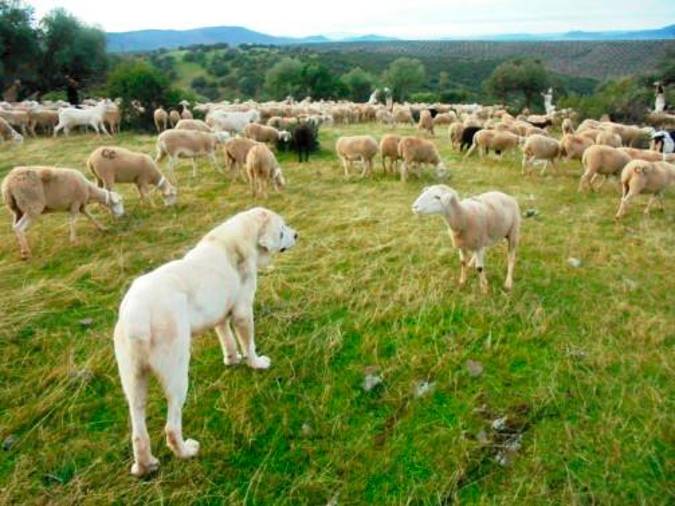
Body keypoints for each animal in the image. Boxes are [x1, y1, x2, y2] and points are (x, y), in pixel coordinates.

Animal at [114, 206, 298, 474]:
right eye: (282, 228)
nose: (296, 235)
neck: (242, 237)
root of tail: (137, 313)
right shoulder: (243, 312)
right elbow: (248, 343)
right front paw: (256, 363)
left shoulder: (220, 316)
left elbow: (227, 339)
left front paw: (232, 360)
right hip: (177, 374)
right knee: (171, 428)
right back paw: (186, 452)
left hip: (133, 381)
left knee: (138, 431)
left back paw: (145, 466)